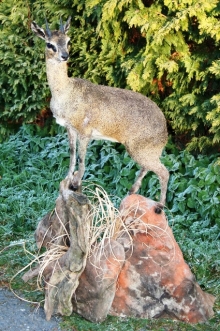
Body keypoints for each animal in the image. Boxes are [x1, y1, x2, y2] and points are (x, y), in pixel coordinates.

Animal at [31, 18, 168, 206]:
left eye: (68, 41)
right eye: (49, 44)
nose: (65, 55)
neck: (65, 92)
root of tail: (165, 131)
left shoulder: (85, 132)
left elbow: (82, 157)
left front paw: (75, 183)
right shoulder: (70, 129)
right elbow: (72, 154)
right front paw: (68, 178)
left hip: (140, 151)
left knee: (164, 172)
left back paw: (159, 206)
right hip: (144, 153)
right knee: (148, 169)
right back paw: (131, 194)